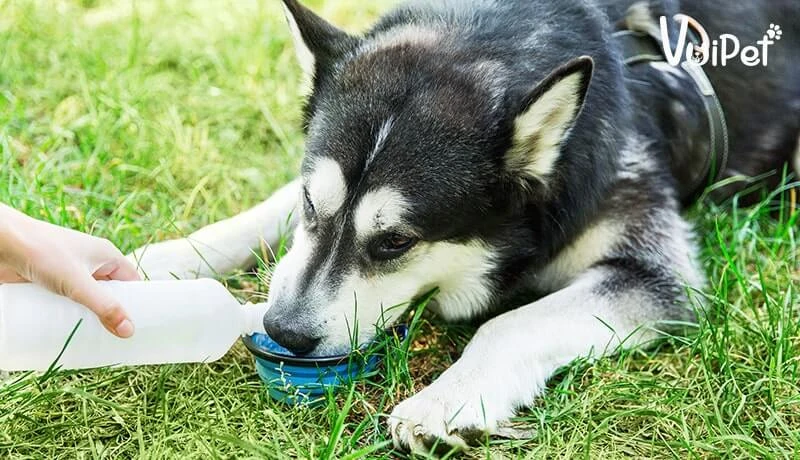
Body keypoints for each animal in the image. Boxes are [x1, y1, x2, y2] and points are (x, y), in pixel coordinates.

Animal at [131, 0, 800, 452]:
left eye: (396, 241)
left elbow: (511, 323)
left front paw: (446, 400)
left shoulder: (659, 275)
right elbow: (268, 213)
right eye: (311, 205)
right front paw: (170, 260)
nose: (284, 332)